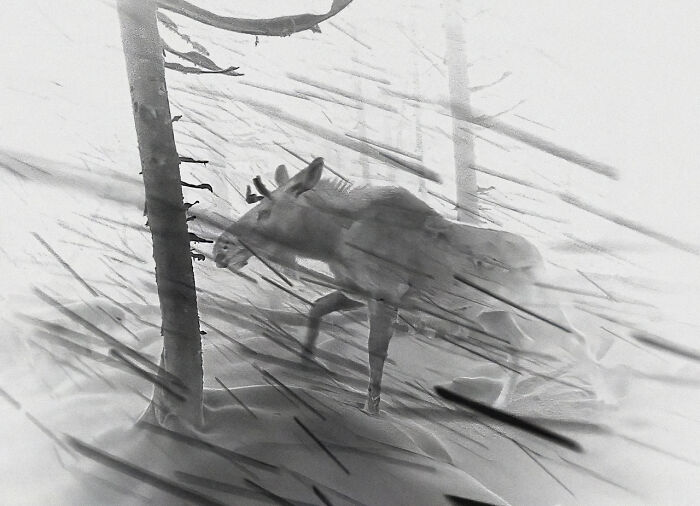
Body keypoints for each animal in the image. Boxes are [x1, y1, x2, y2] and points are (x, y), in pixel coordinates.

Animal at [213, 157, 603, 415]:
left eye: (264, 212)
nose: (220, 248)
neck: (330, 242)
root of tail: (540, 255)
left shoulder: (385, 297)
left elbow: (375, 353)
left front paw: (371, 409)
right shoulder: (356, 293)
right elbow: (317, 308)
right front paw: (304, 364)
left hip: (535, 305)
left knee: (576, 339)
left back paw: (603, 400)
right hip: (490, 316)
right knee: (518, 345)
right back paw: (501, 402)